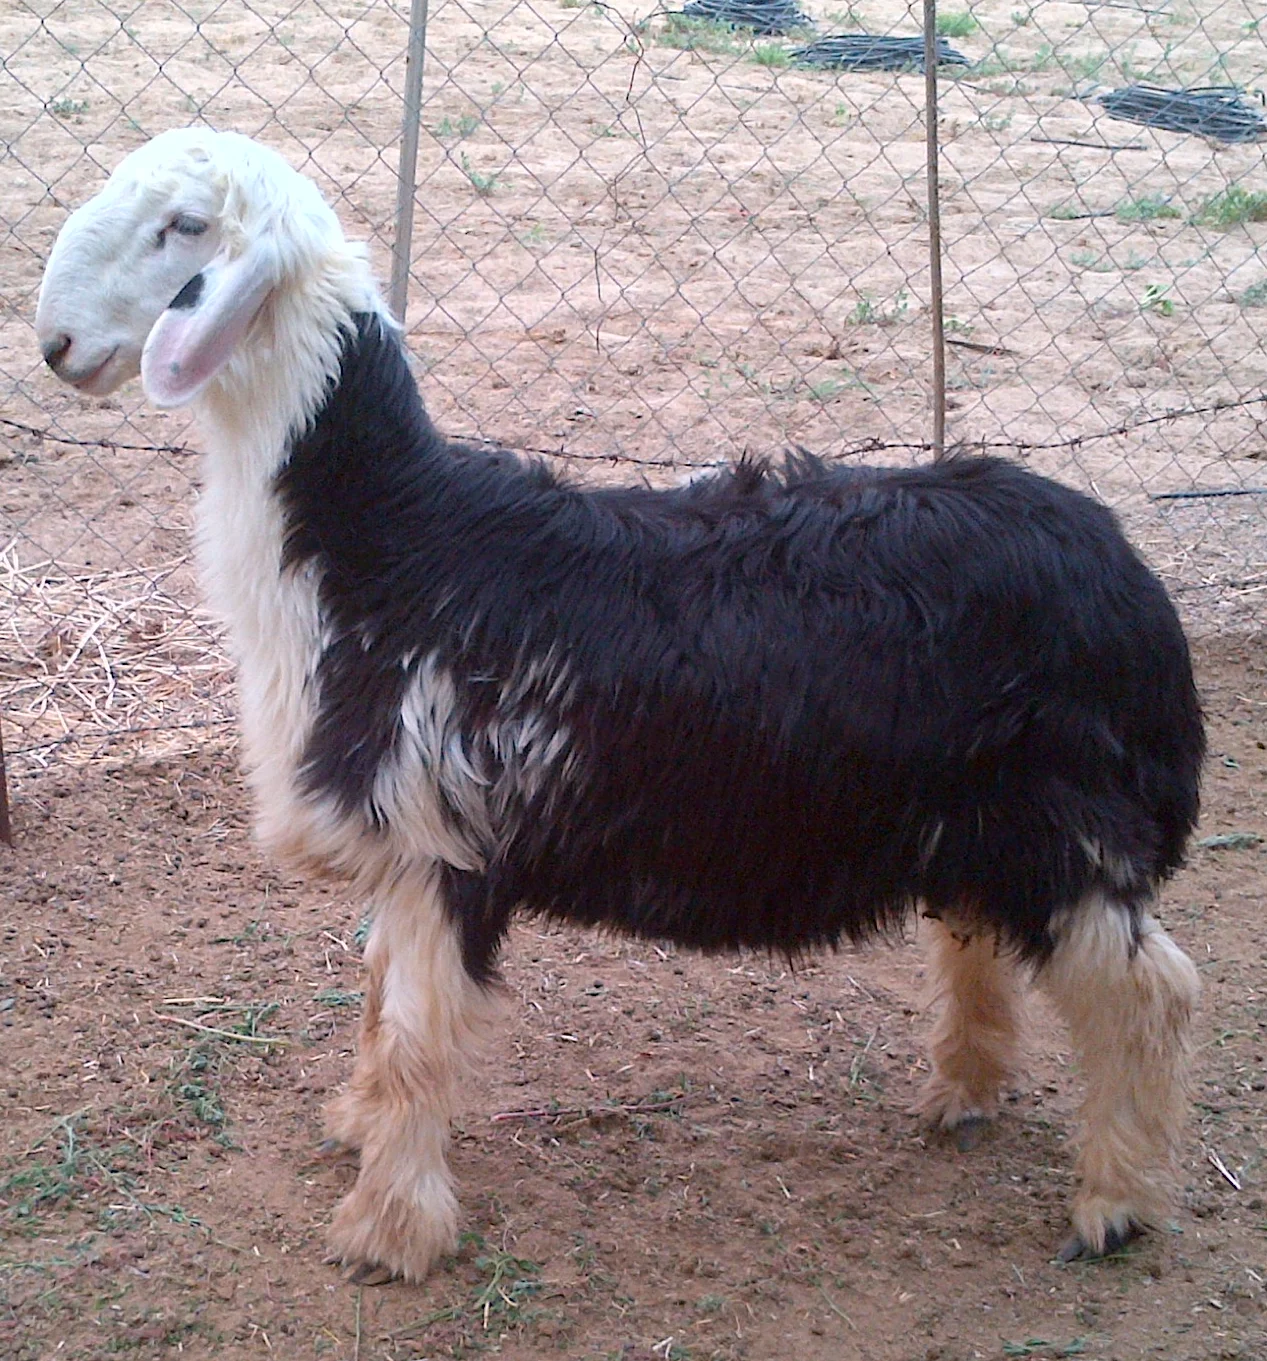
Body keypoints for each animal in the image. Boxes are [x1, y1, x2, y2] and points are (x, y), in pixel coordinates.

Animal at [36, 128, 1205, 1285]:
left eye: (184, 226)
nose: (53, 345)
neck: (387, 546)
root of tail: (1118, 563)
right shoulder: (409, 844)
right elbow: (373, 1005)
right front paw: (358, 1126)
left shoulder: (442, 842)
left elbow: (410, 1040)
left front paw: (388, 1231)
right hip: (973, 815)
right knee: (974, 934)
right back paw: (962, 1094)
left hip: (1067, 819)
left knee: (1150, 996)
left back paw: (1115, 1200)